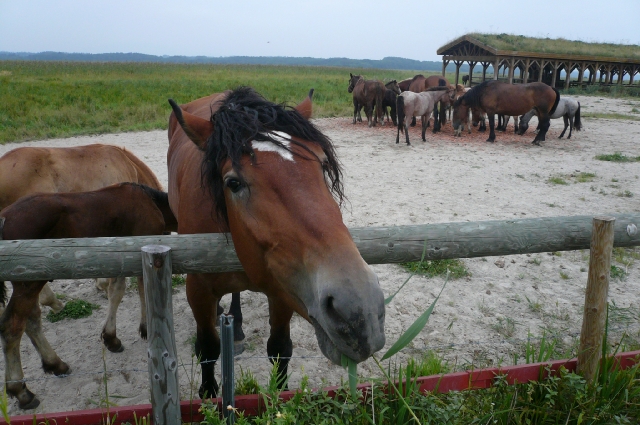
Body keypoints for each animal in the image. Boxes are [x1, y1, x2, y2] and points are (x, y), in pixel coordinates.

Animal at [0, 181, 178, 408]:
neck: (150, 201)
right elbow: (137, 290)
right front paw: (143, 328)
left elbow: (116, 292)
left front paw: (111, 338)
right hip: (29, 284)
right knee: (12, 327)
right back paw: (21, 391)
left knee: (31, 320)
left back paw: (56, 364)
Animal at [166, 85, 384, 398]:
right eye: (233, 183)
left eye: (322, 164)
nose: (360, 313)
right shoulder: (198, 290)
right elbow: (208, 349)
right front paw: (207, 393)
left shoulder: (283, 289)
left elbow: (280, 349)